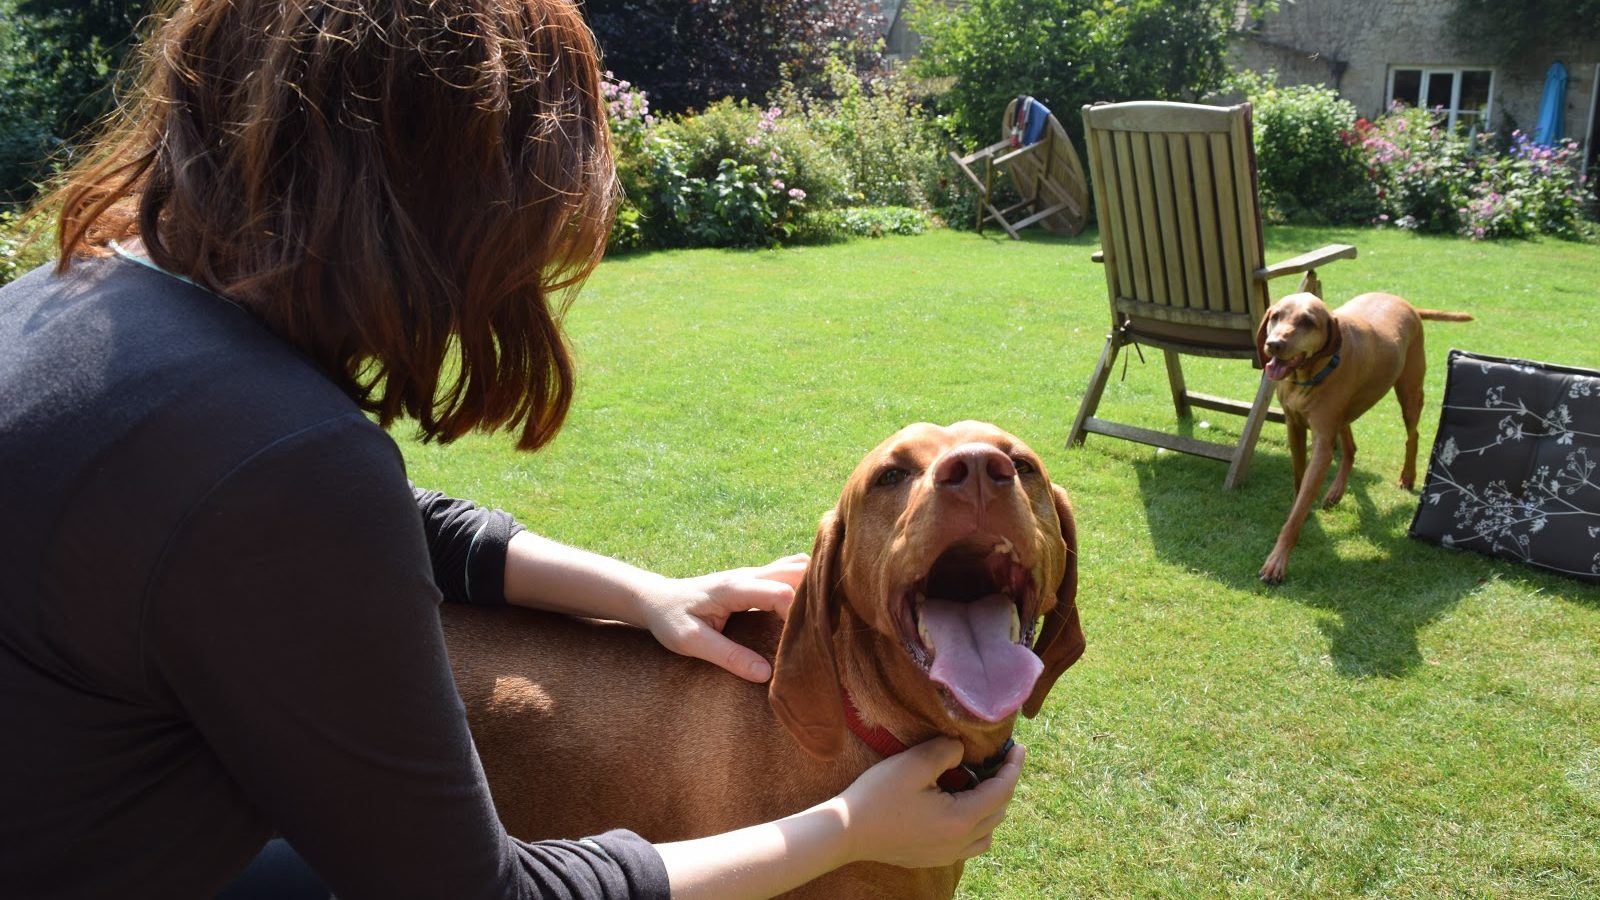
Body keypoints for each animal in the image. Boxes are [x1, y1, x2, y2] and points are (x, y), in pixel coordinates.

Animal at [1248, 286, 1472, 582]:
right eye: (1275, 316)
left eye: (1308, 321)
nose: (1273, 345)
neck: (1311, 374)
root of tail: (1406, 303)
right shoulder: (1294, 426)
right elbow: (1299, 482)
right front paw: (1301, 509)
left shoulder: (1322, 442)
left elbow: (1298, 508)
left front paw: (1277, 561)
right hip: (1346, 411)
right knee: (1351, 449)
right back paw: (1335, 492)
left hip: (1409, 391)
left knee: (1412, 435)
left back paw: (1407, 476)